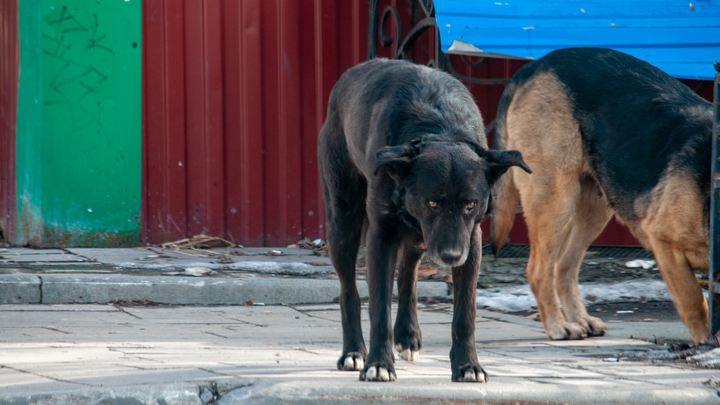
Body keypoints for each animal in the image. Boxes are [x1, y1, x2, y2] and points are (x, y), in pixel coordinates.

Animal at [318, 58, 532, 380]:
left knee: (408, 275)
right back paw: (354, 352)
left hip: (419, 239)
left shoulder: (471, 241)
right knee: (349, 291)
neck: (440, 129)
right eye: (432, 202)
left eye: (470, 205)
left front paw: (468, 365)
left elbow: (465, 314)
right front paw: (378, 364)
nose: (451, 257)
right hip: (343, 220)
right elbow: (379, 308)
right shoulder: (382, 236)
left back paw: (407, 336)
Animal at [492, 48, 712, 344]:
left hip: (595, 207)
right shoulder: (665, 242)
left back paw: (579, 319)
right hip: (555, 198)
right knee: (539, 270)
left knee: (563, 267)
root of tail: (535, 65)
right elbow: (695, 302)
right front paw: (707, 343)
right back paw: (558, 326)